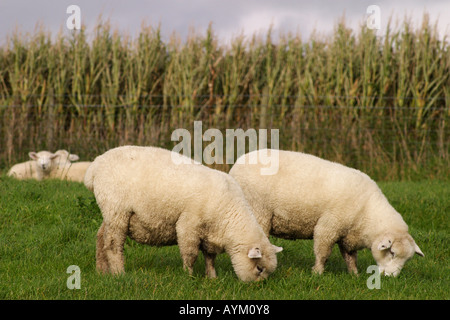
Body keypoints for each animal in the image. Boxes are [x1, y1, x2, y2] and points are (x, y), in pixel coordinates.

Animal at [84, 146, 282, 282]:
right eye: (259, 269)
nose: (258, 286)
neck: (229, 217)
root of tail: (94, 167)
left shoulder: (210, 233)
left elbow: (210, 257)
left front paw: (212, 277)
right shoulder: (188, 225)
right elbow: (190, 254)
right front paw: (189, 276)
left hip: (110, 213)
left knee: (101, 238)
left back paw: (102, 272)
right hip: (117, 210)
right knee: (113, 244)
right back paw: (119, 273)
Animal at [230, 149, 424, 276]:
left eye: (406, 260)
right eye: (392, 253)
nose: (391, 278)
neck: (368, 213)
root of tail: (236, 165)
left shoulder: (347, 234)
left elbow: (350, 257)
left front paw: (355, 275)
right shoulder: (329, 226)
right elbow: (323, 252)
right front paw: (317, 272)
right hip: (258, 210)